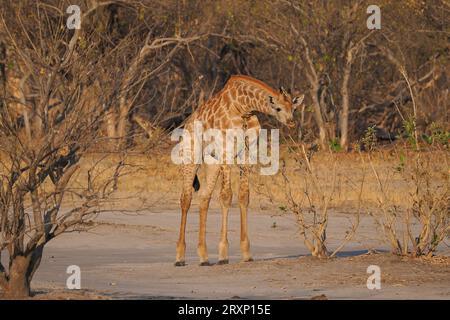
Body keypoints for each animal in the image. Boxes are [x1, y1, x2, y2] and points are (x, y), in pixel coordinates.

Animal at [174, 74, 304, 264]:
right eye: (278, 108)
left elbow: (244, 196)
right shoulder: (226, 152)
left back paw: (204, 257)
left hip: (212, 162)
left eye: (294, 108)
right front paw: (223, 254)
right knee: (185, 199)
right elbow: (226, 196)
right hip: (191, 157)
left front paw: (246, 252)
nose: (292, 122)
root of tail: (187, 126)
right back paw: (180, 257)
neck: (244, 109)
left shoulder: (247, 155)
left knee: (204, 198)